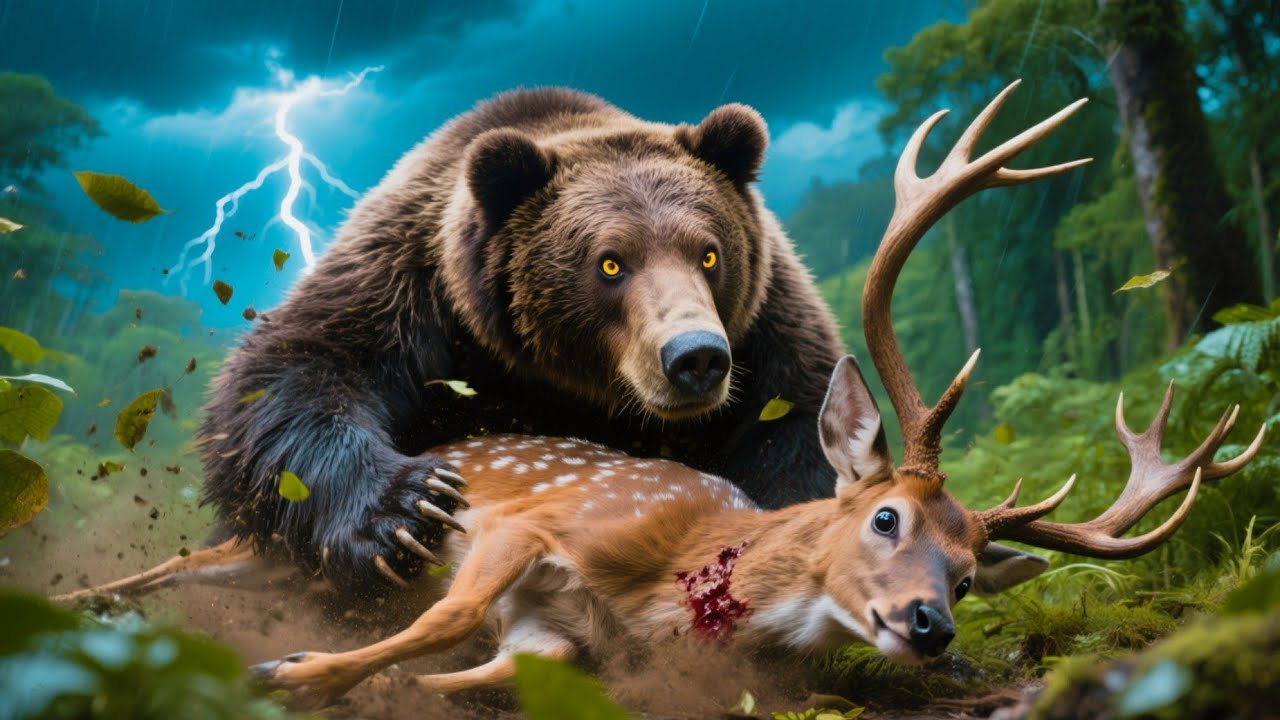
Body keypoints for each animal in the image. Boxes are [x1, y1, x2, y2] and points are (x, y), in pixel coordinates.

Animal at [200, 88, 845, 596]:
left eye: (709, 254)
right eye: (610, 263)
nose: (695, 357)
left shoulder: (766, 332)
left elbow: (796, 432)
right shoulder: (409, 289)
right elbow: (292, 372)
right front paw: (409, 509)